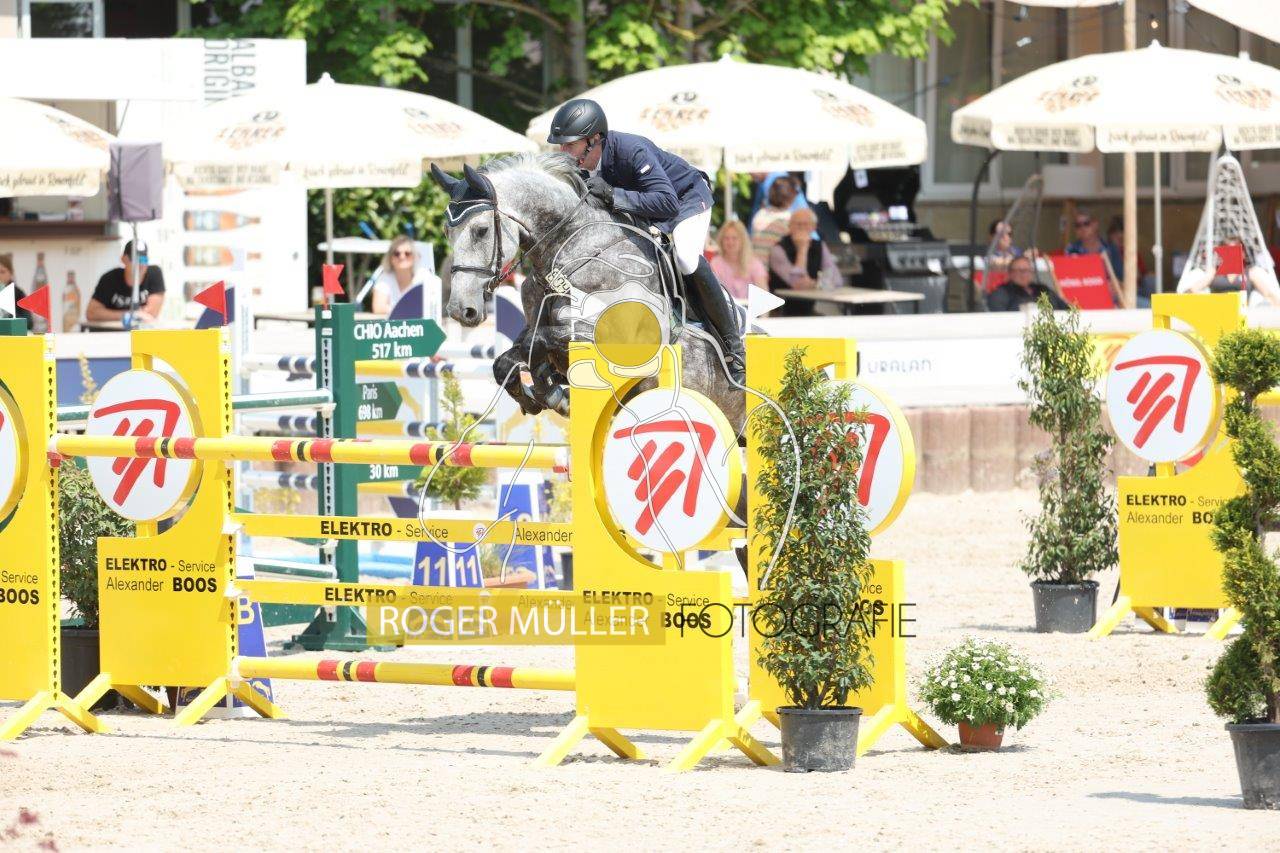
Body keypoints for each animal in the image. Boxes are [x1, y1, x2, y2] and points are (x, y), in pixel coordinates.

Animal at [430, 153, 745, 431]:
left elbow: (538, 342)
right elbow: (506, 361)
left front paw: (553, 393)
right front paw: (544, 396)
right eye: (446, 232)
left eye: (481, 230)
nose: (460, 310)